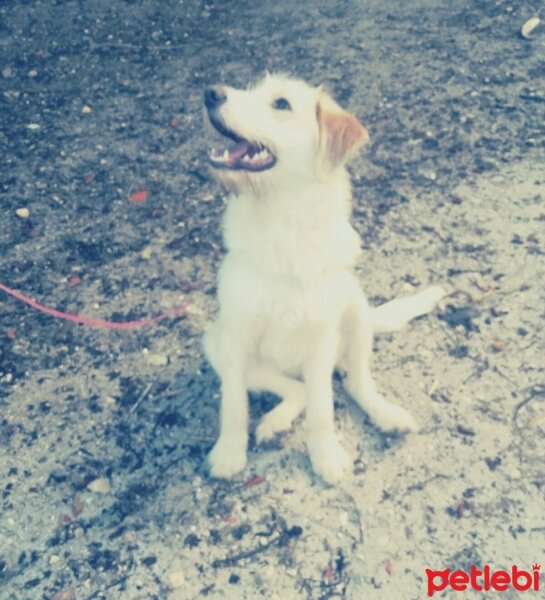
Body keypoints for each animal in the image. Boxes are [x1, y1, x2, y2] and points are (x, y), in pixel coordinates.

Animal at [200, 74, 442, 482]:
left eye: (281, 103)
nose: (211, 93)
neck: (282, 222)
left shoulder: (320, 339)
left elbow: (323, 409)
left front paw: (325, 454)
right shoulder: (236, 334)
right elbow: (233, 403)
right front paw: (230, 450)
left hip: (355, 311)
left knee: (354, 381)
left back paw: (385, 414)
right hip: (218, 344)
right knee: (294, 389)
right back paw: (274, 423)